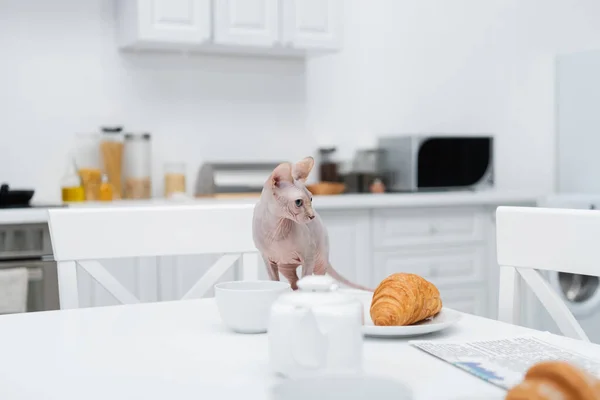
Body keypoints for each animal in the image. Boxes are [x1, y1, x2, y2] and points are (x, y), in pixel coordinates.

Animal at [252, 156, 372, 290]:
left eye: (311, 199)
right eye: (298, 202)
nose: (312, 216)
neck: (276, 228)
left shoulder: (308, 256)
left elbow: (305, 279)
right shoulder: (267, 259)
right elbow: (274, 280)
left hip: (318, 260)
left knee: (312, 279)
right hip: (285, 266)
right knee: (293, 281)